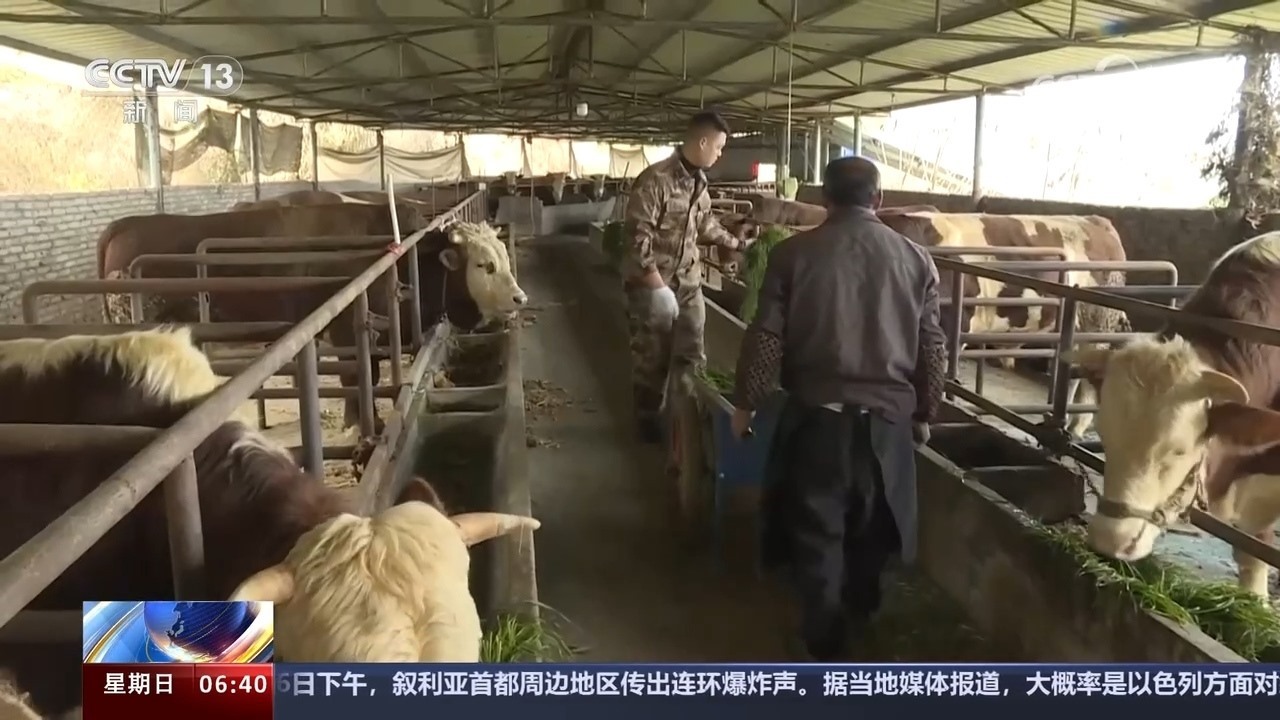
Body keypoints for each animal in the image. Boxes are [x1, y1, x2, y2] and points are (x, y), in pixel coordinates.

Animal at [97, 204, 527, 429]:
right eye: (484, 265)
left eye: (503, 258)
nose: (520, 297)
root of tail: (126, 223)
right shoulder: (345, 331)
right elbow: (358, 378)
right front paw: (361, 423)